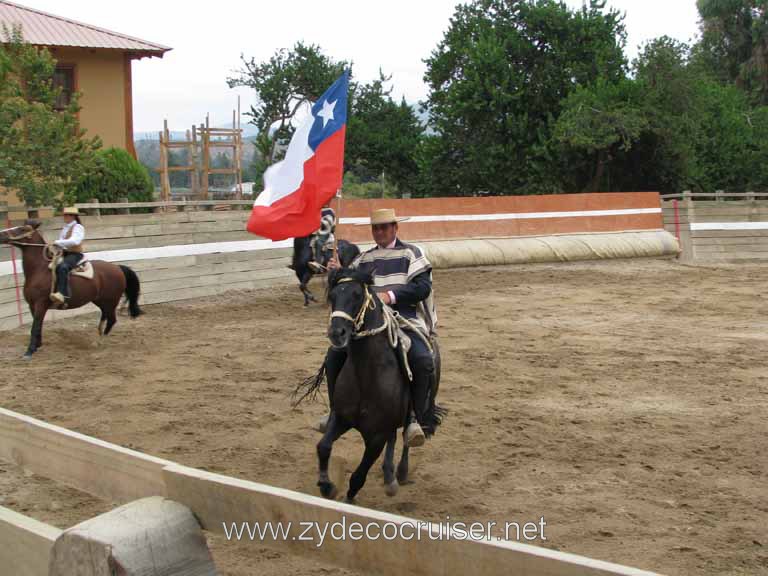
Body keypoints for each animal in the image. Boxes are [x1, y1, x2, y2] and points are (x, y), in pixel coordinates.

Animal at [0, 219, 142, 358]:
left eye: (22, 229)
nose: (1, 234)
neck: (39, 270)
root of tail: (118, 267)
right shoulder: (32, 305)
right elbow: (38, 325)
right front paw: (37, 346)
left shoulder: (40, 304)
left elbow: (35, 327)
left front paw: (29, 351)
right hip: (101, 301)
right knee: (105, 316)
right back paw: (98, 337)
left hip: (110, 301)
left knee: (112, 320)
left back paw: (100, 341)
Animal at [296, 268, 448, 502]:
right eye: (333, 296)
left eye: (357, 295)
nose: (337, 333)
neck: (366, 376)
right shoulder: (341, 418)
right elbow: (323, 447)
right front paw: (326, 486)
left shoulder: (377, 437)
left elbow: (359, 476)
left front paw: (348, 499)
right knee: (394, 438)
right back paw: (389, 476)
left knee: (406, 436)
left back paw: (401, 471)